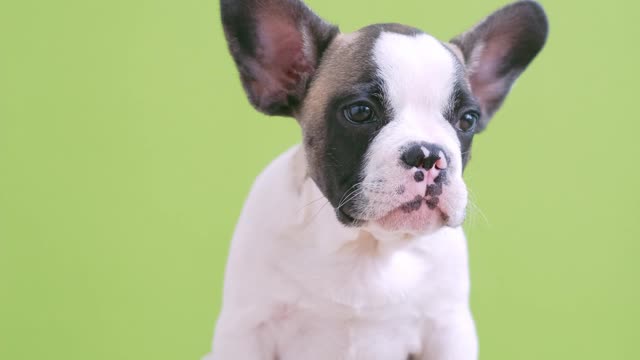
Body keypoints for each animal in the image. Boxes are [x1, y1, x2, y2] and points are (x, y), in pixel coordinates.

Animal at [208, 1, 548, 358]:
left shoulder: (448, 328)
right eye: (360, 112)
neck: (367, 246)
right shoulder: (248, 327)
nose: (429, 154)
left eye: (468, 120)